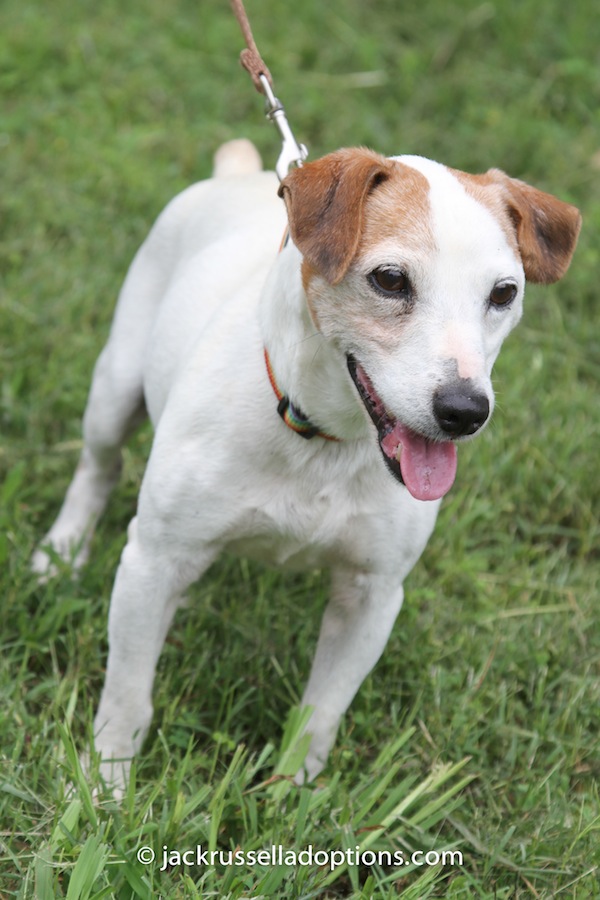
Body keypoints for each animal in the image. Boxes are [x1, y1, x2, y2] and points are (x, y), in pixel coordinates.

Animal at [34, 137, 580, 792]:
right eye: (390, 279)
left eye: (504, 294)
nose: (464, 411)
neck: (323, 436)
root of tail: (237, 175)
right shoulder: (153, 560)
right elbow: (126, 695)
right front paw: (104, 785)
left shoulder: (372, 595)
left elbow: (320, 713)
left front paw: (292, 791)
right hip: (115, 387)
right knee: (98, 465)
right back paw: (63, 550)